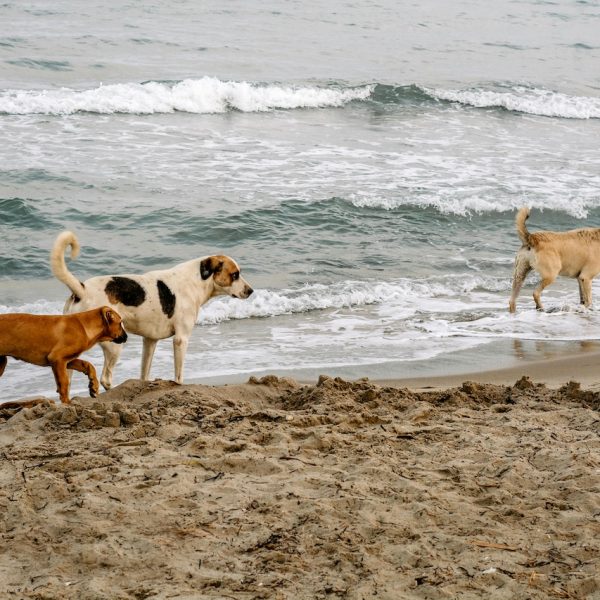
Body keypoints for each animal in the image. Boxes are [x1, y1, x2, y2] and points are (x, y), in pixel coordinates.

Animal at [51, 230, 253, 390]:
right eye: (235, 275)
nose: (250, 291)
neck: (196, 280)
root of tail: (82, 290)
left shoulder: (150, 341)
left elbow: (144, 372)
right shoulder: (181, 339)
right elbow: (179, 375)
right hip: (115, 345)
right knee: (106, 379)